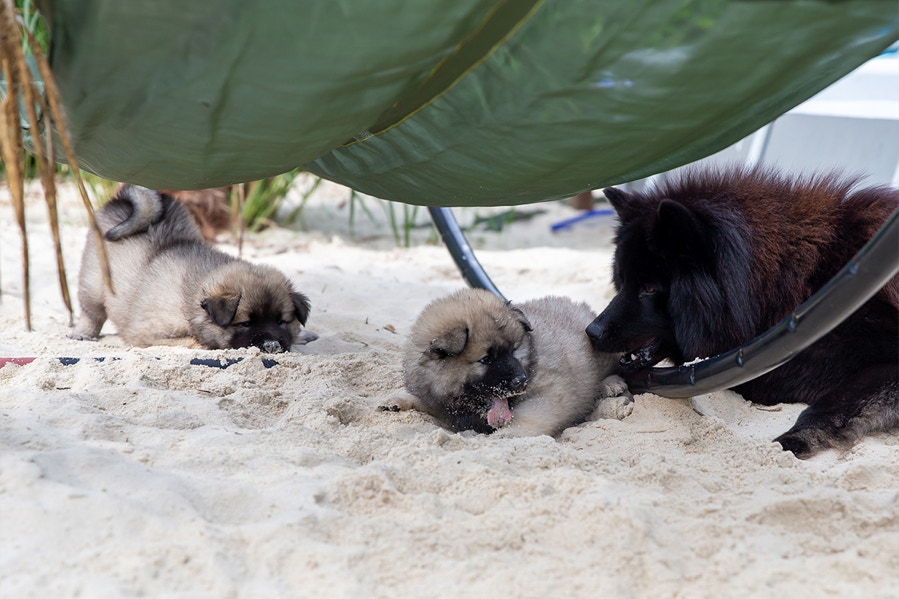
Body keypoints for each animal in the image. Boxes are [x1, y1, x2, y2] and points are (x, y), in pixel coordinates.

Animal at [70, 185, 311, 352]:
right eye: (245, 323)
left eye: (282, 322)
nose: (272, 346)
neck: (191, 296)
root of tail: (120, 202)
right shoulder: (147, 334)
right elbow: (190, 340)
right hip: (93, 281)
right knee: (90, 312)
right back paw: (83, 334)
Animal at [395, 288, 630, 437]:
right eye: (485, 359)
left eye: (513, 351)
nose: (520, 380)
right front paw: (400, 400)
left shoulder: (553, 391)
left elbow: (528, 417)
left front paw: (506, 435)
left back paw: (611, 384)